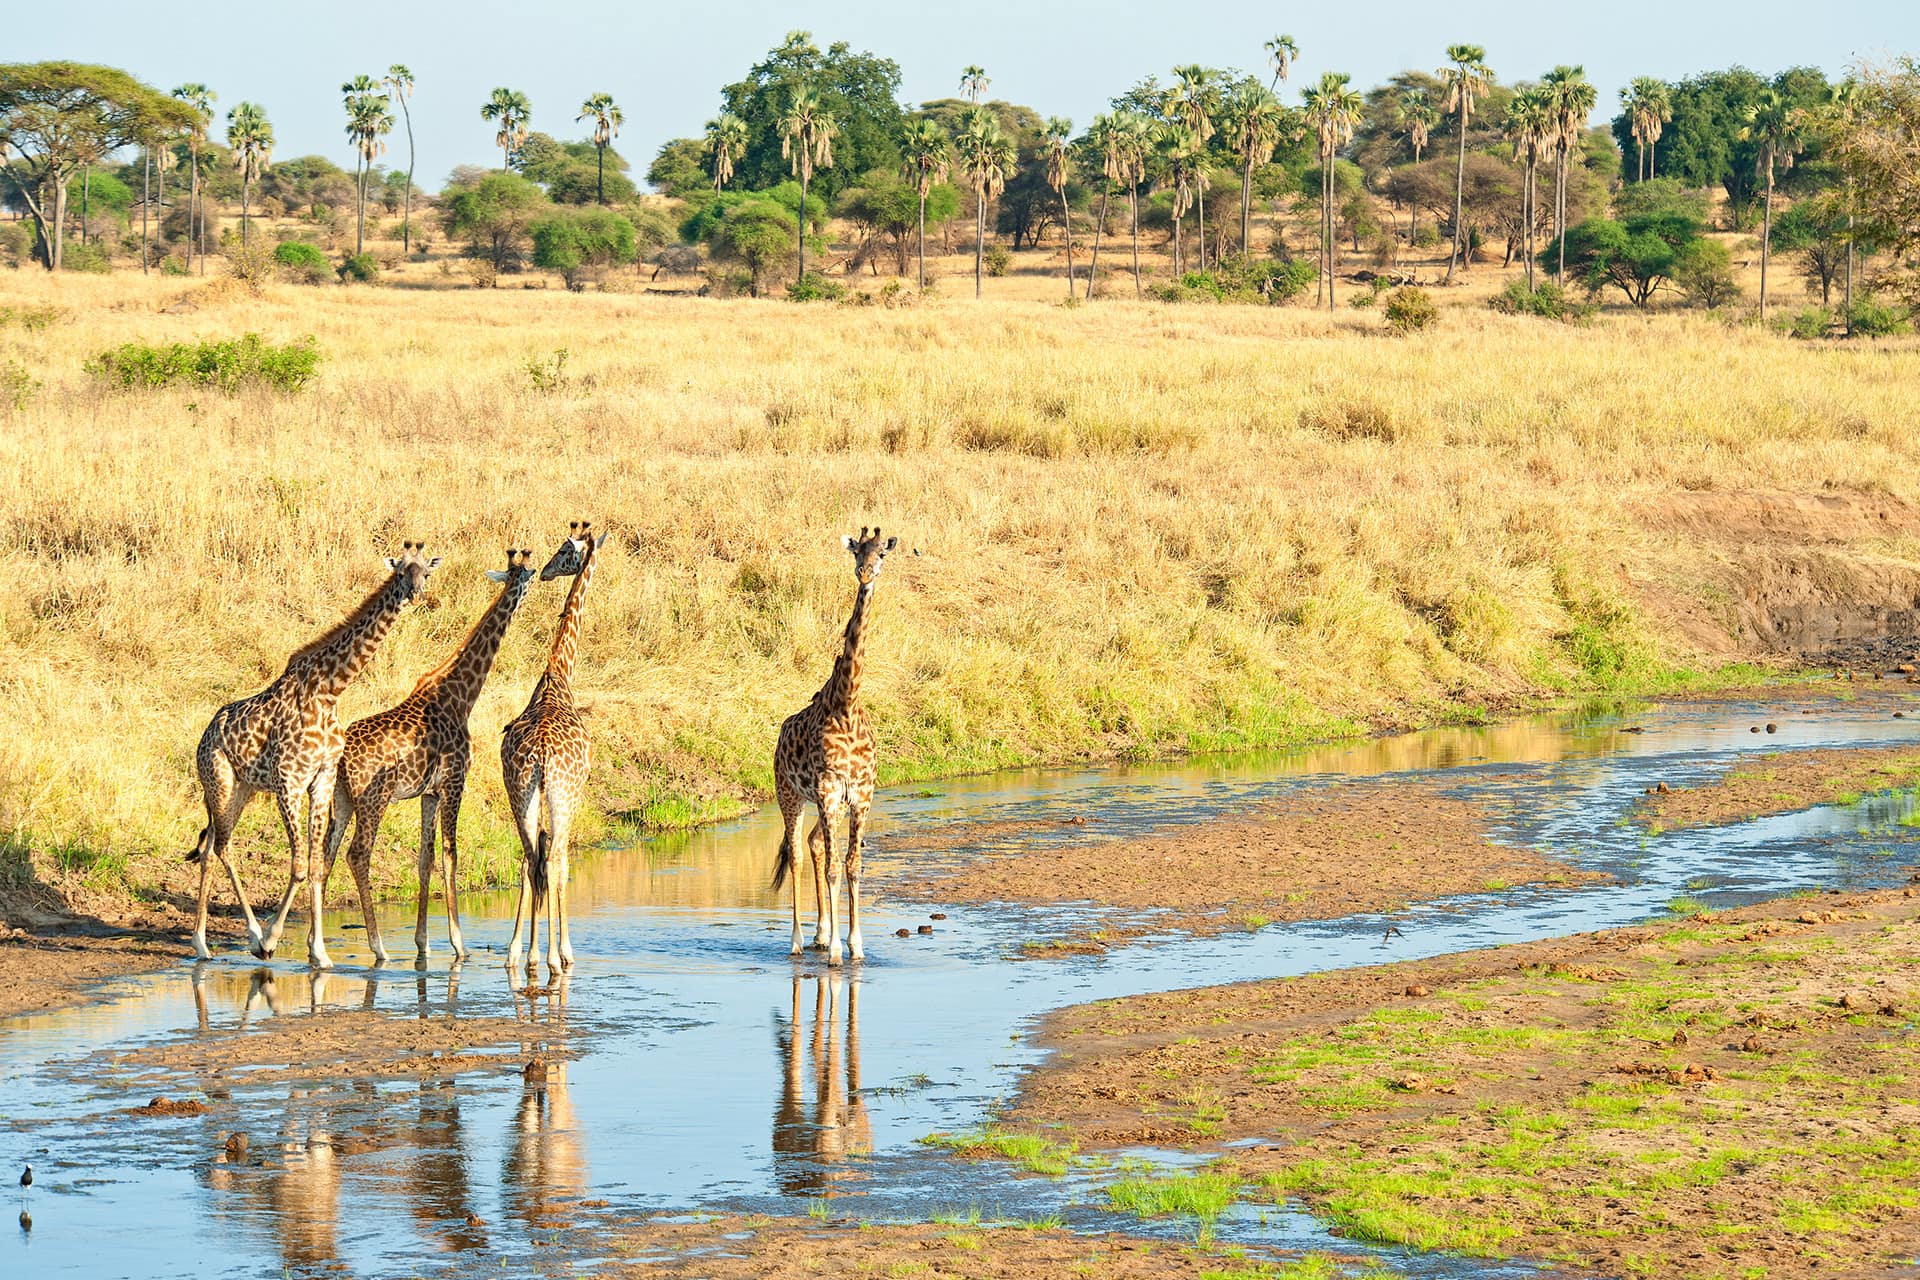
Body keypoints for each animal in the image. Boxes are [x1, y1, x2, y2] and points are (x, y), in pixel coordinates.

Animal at [187, 543, 440, 965]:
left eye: (426, 571)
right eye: (401, 571)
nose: (414, 593)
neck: (329, 690)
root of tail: (204, 738)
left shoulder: (322, 778)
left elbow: (318, 864)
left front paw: (318, 952)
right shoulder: (289, 781)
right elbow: (300, 865)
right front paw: (272, 939)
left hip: (242, 789)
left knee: (211, 847)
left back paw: (214, 942)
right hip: (219, 781)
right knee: (219, 847)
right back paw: (230, 940)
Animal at [321, 547, 539, 966]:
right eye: (524, 575)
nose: (535, 579)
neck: (462, 695)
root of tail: (340, 757)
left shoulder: (429, 793)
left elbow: (426, 858)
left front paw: (422, 942)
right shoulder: (455, 782)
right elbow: (451, 854)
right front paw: (458, 944)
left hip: (340, 798)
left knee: (324, 855)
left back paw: (312, 944)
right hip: (373, 799)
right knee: (357, 854)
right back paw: (378, 948)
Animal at [771, 527, 897, 966]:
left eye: (882, 554)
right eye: (857, 552)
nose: (866, 574)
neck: (847, 704)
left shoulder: (860, 794)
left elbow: (852, 865)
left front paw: (855, 945)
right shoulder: (827, 789)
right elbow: (831, 868)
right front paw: (839, 954)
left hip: (832, 804)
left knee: (813, 845)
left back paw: (822, 933)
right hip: (789, 794)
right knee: (795, 853)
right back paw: (797, 940)